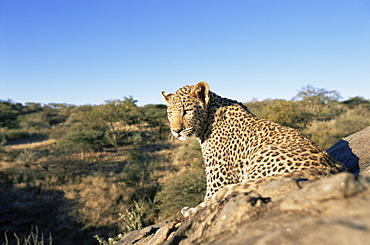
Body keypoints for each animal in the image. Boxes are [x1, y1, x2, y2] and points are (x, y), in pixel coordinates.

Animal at [160, 81, 346, 202]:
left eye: (186, 111)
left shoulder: (219, 178)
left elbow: (209, 198)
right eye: (169, 113)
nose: (176, 131)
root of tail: (330, 170)